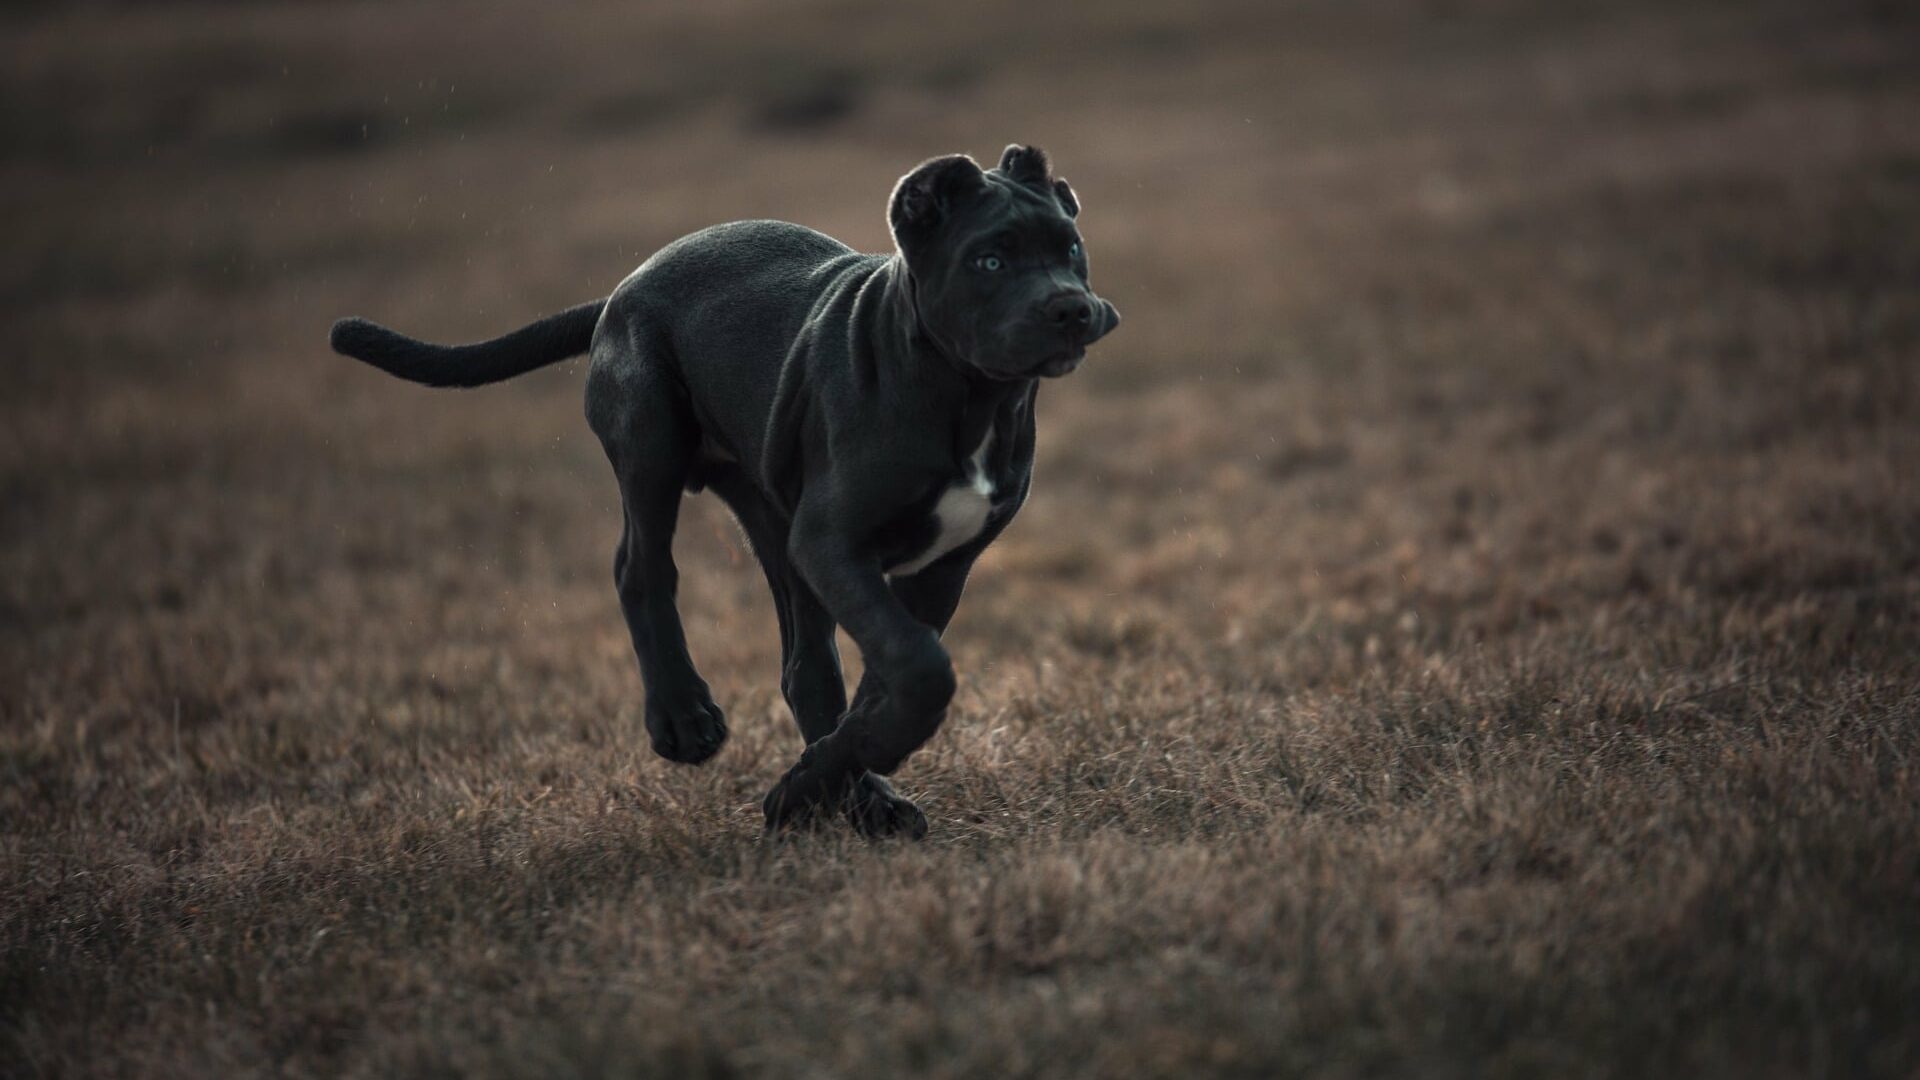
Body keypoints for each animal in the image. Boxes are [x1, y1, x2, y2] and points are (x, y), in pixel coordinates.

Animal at [324, 143, 1121, 834]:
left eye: (1070, 250)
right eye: (989, 259)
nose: (1071, 309)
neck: (968, 396)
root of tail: (622, 289)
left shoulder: (935, 566)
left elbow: (890, 672)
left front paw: (822, 779)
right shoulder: (834, 543)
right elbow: (920, 665)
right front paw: (843, 769)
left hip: (773, 520)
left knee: (805, 669)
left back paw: (852, 801)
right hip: (650, 438)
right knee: (640, 567)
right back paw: (684, 720)